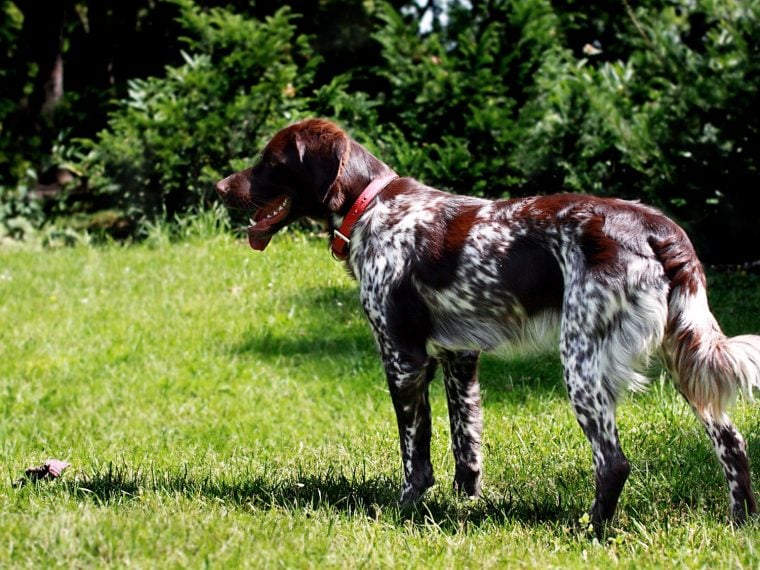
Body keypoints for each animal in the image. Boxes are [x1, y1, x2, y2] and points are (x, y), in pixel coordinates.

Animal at [215, 117, 760, 524]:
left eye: (270, 161)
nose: (219, 187)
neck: (373, 210)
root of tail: (657, 227)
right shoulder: (460, 356)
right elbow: (466, 442)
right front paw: (466, 503)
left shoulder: (403, 358)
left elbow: (415, 450)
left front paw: (404, 507)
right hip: (684, 358)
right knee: (731, 442)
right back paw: (740, 521)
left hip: (582, 362)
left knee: (613, 462)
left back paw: (593, 531)